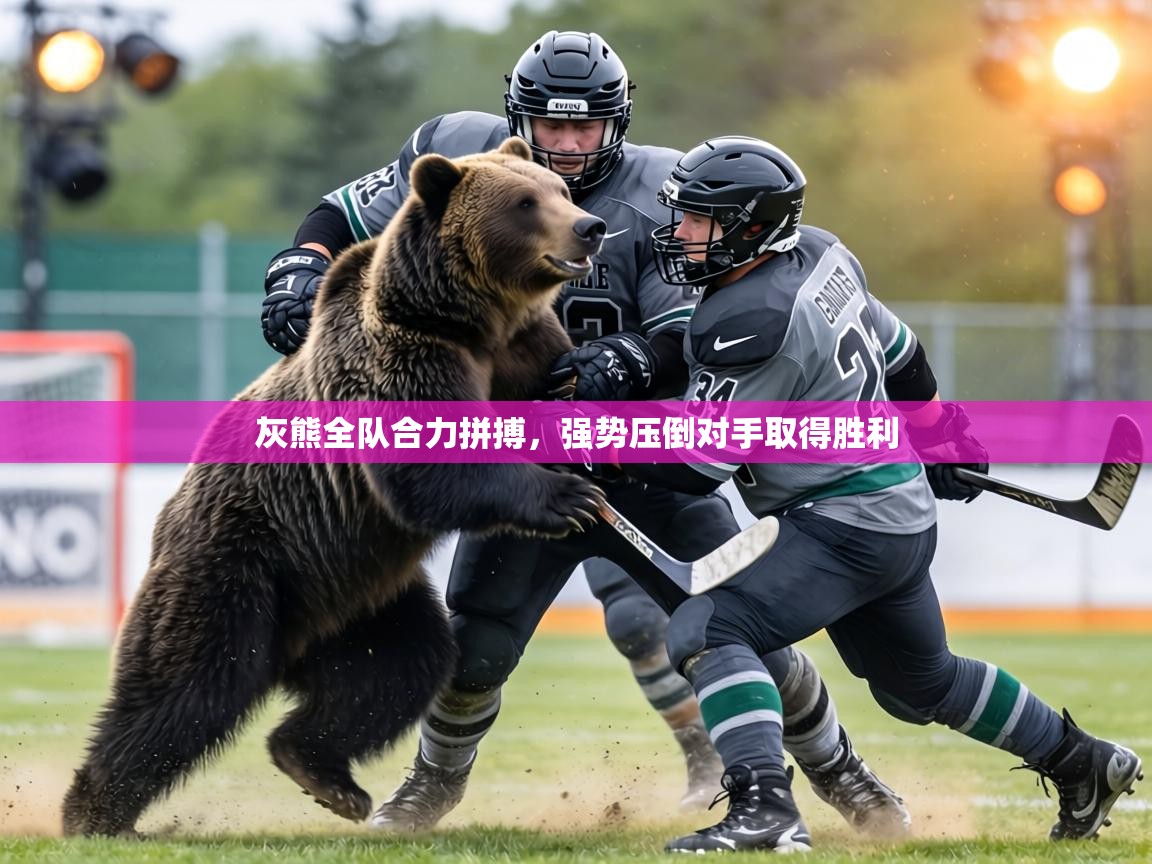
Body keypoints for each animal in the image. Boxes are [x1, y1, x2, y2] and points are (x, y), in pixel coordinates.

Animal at [62, 136, 607, 837]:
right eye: (525, 202)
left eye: (557, 192)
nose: (589, 226)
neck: (475, 321)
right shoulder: (405, 358)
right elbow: (430, 471)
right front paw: (565, 496)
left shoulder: (528, 353)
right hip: (240, 566)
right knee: (187, 686)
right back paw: (96, 811)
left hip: (359, 593)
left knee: (399, 669)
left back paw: (323, 773)